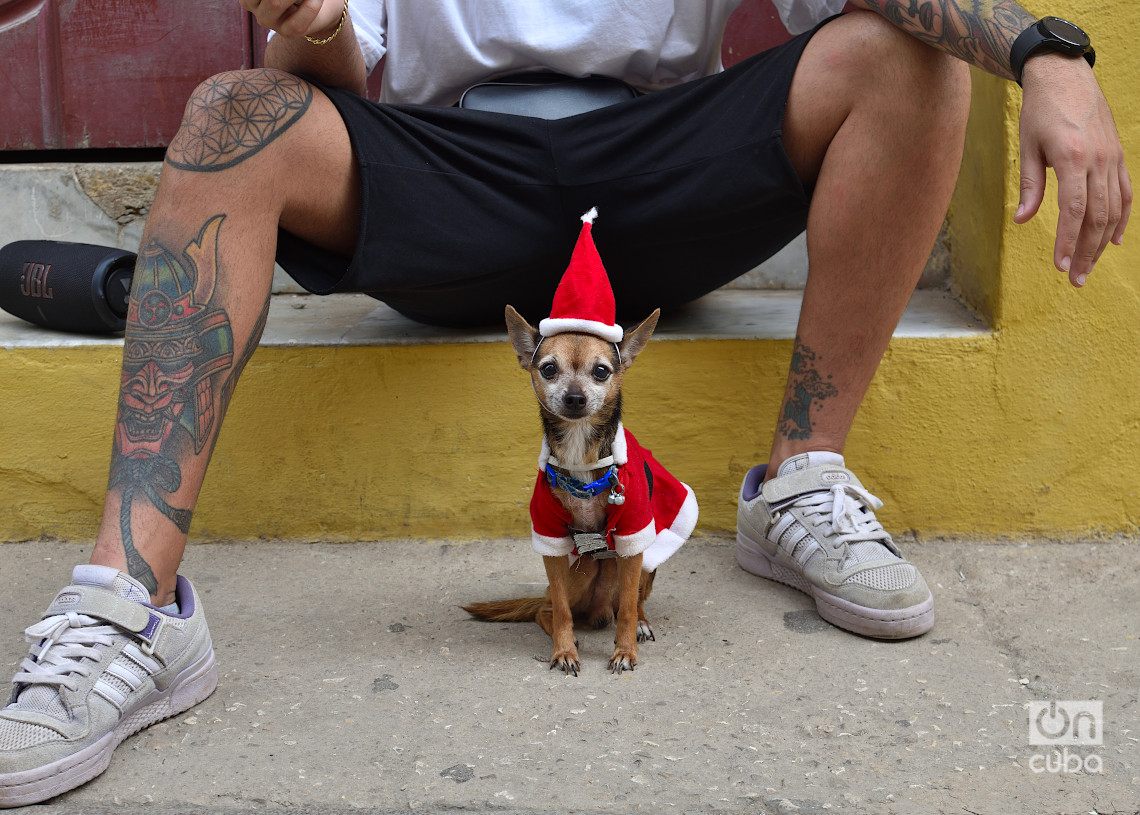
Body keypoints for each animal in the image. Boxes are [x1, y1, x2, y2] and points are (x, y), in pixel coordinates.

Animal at [462, 300, 693, 674]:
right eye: (548, 369)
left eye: (600, 371)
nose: (573, 397)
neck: (580, 452)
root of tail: (598, 612)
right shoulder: (551, 542)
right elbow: (561, 610)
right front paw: (564, 650)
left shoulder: (633, 537)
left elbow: (627, 610)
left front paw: (625, 650)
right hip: (578, 575)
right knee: (547, 608)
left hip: (642, 564)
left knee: (630, 604)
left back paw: (641, 624)